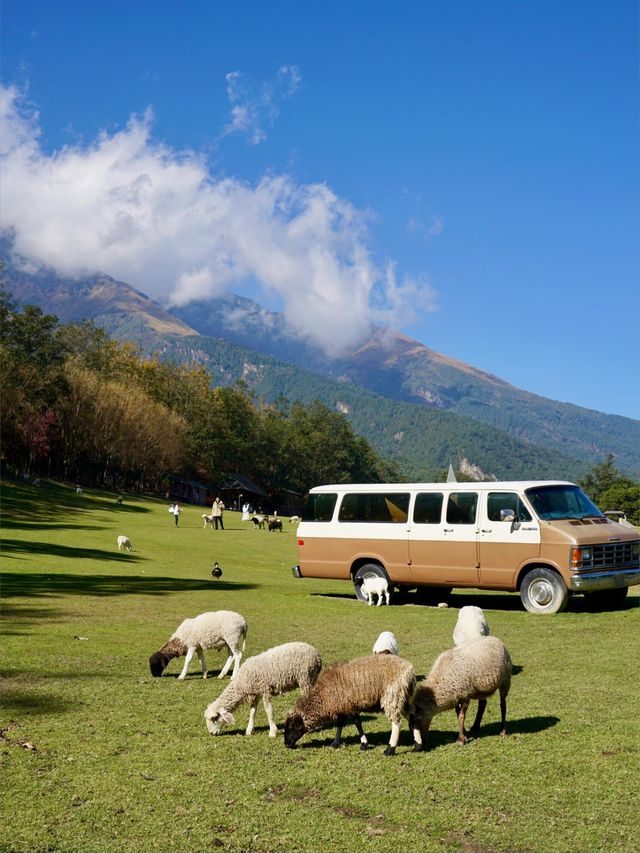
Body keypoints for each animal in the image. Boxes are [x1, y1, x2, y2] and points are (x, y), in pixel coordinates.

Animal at [284, 656, 416, 756]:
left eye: (291, 727)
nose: (286, 744)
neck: (323, 696)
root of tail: (409, 670)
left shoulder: (350, 705)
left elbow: (357, 723)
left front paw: (363, 744)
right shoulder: (343, 706)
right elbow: (340, 724)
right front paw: (335, 743)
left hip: (392, 695)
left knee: (396, 723)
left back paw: (390, 749)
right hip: (402, 697)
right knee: (412, 716)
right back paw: (417, 745)